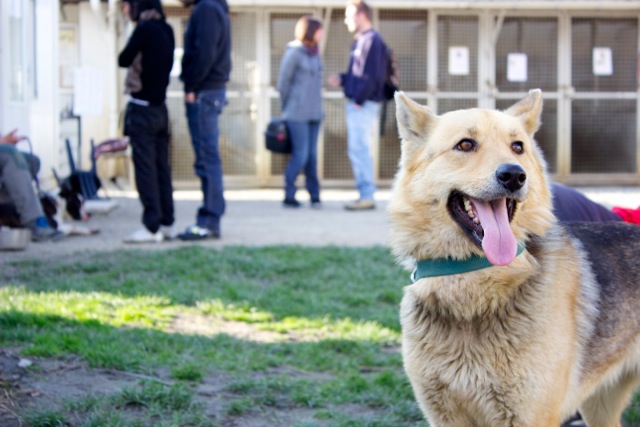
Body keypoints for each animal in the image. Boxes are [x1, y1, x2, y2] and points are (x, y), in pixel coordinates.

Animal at [388, 88, 640, 426]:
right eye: (465, 144)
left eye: (517, 147)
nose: (514, 175)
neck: (477, 277)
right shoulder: (445, 415)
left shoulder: (530, 416)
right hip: (600, 407)